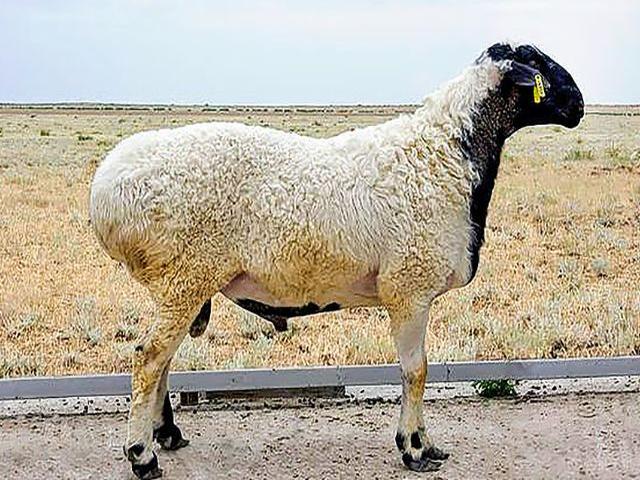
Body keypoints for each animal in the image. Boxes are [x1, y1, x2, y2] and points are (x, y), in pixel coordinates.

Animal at [89, 42, 584, 479]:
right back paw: (142, 456)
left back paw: (166, 435)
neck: (445, 153)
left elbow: (418, 369)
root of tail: (106, 191)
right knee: (149, 358)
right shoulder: (409, 289)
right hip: (187, 275)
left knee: (162, 359)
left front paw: (428, 444)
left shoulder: (414, 293)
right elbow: (416, 371)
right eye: (537, 62)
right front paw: (414, 449)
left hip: (182, 284)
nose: (578, 104)